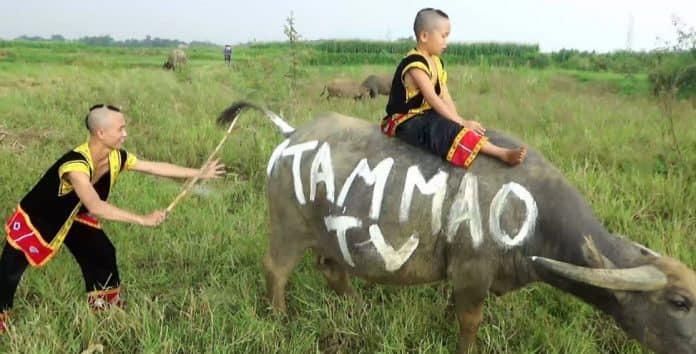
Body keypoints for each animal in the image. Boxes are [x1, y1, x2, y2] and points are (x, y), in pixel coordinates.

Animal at [218, 102, 696, 354]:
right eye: (679, 302)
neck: (531, 213)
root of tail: (292, 135)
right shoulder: (472, 272)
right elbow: (469, 322)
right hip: (288, 226)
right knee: (276, 269)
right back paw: (281, 319)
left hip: (329, 234)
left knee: (332, 267)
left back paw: (356, 309)